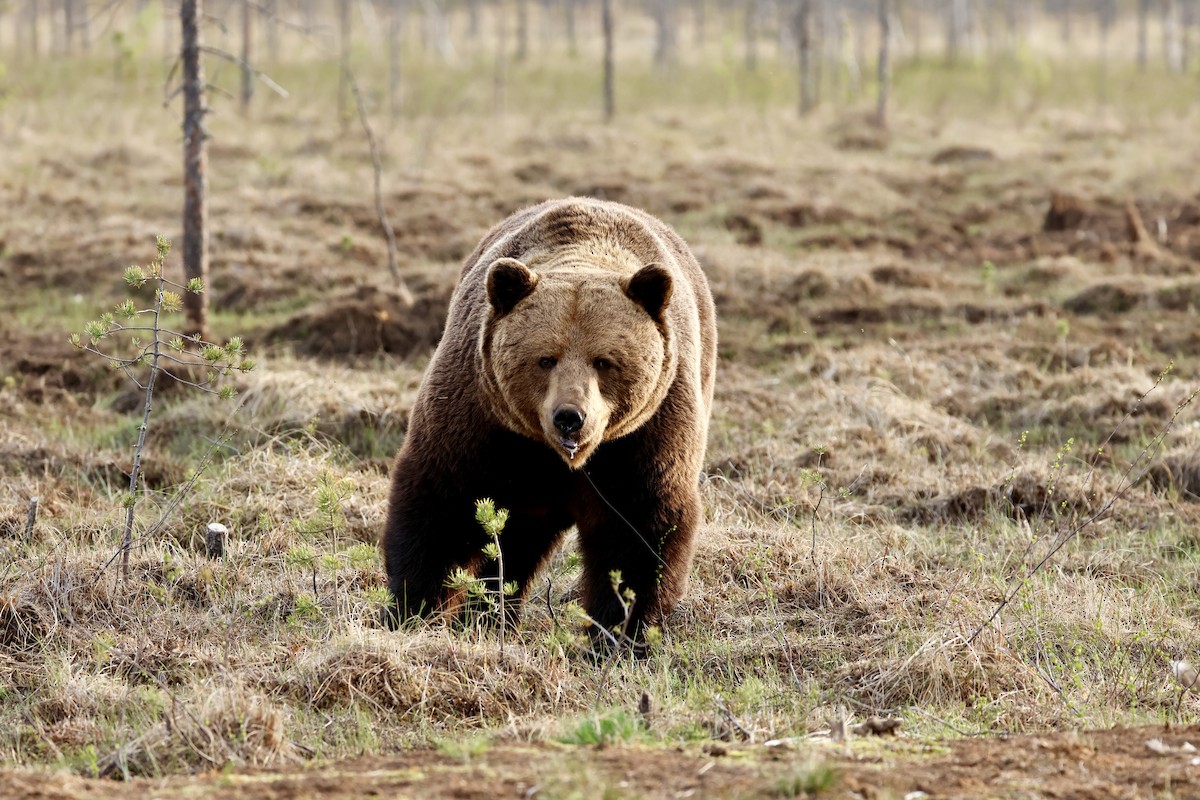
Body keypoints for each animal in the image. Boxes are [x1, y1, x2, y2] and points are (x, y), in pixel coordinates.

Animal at [381, 197, 717, 643]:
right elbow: (441, 508)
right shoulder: (480, 421)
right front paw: (415, 611)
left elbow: (641, 533)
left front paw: (622, 632)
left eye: (604, 361)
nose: (570, 417)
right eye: (545, 358)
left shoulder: (645, 437)